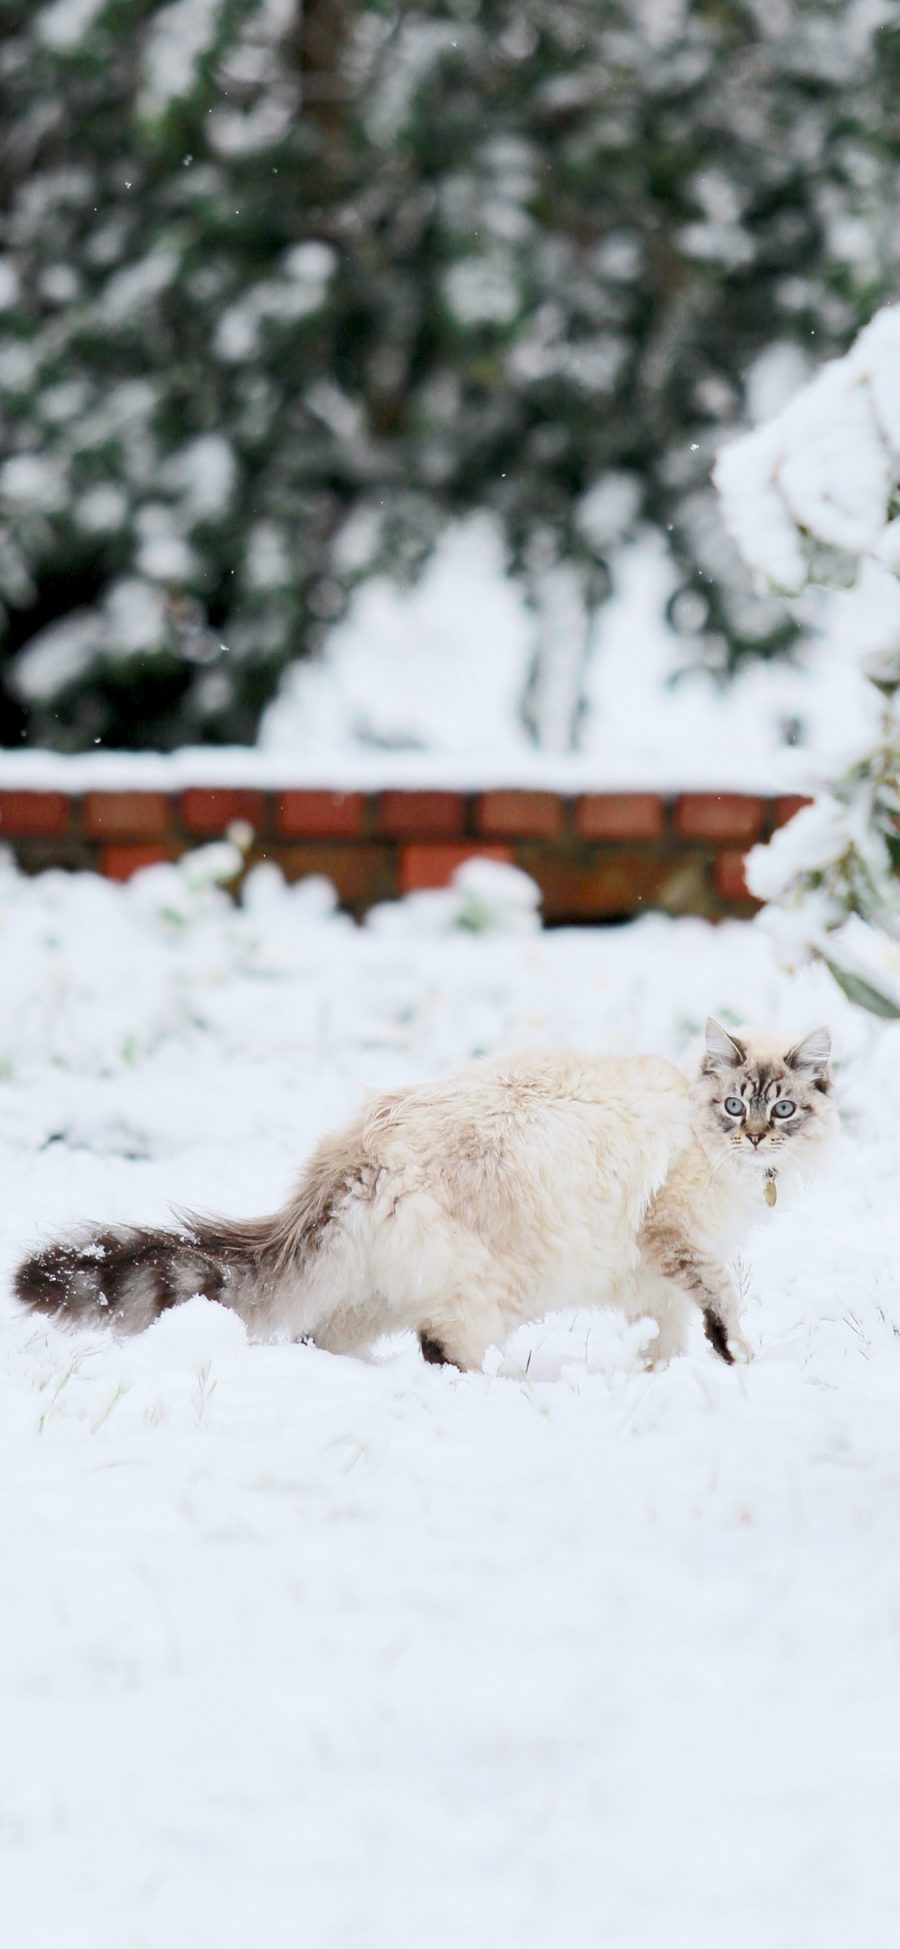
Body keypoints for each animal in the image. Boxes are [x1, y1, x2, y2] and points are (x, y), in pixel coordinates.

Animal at [14, 1021, 833, 1372]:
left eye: (783, 1109)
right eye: (737, 1105)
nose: (757, 1137)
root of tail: (360, 1143)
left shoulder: (654, 1272)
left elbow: (670, 1327)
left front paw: (660, 1373)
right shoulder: (678, 1237)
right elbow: (720, 1302)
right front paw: (735, 1359)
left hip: (370, 1292)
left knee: (322, 1336)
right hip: (492, 1288)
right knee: (441, 1347)